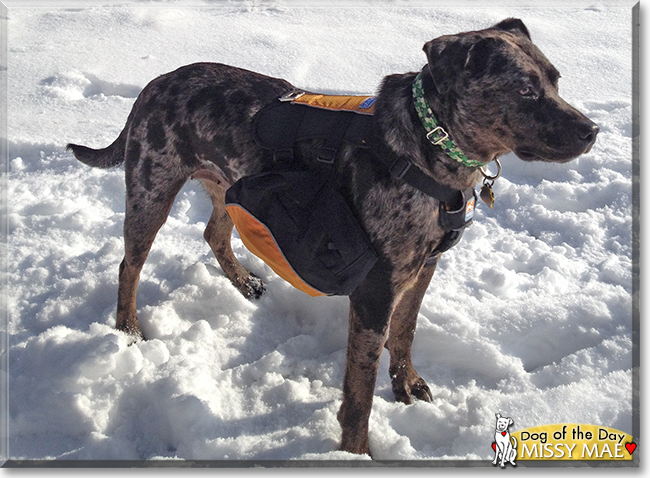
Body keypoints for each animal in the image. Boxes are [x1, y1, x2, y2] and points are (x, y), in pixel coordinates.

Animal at [67, 18, 596, 458]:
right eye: (525, 90)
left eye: (556, 79)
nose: (592, 130)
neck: (430, 149)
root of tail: (154, 84)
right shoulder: (375, 290)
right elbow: (359, 395)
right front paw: (356, 454)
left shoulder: (422, 267)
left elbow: (405, 334)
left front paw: (408, 385)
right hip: (152, 188)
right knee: (130, 264)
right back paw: (128, 330)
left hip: (224, 182)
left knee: (214, 232)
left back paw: (243, 282)